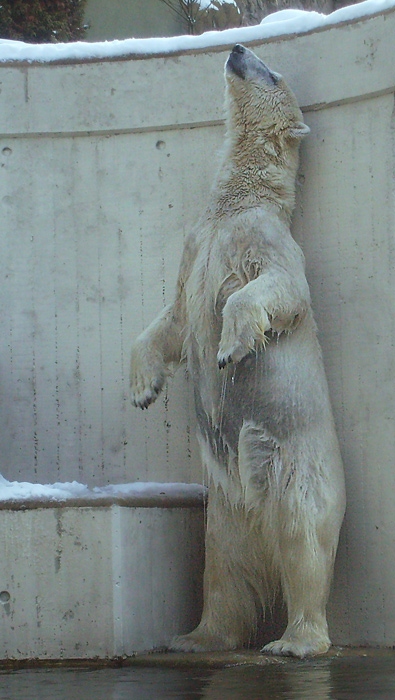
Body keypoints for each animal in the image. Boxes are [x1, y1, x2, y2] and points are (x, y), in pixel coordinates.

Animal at [131, 43, 346, 656]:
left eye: (271, 72)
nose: (236, 47)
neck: (234, 204)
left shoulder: (263, 239)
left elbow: (280, 291)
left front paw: (230, 349)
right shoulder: (195, 247)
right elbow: (173, 321)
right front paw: (143, 388)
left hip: (296, 465)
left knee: (303, 540)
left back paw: (295, 641)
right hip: (224, 508)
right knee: (222, 569)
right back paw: (195, 637)